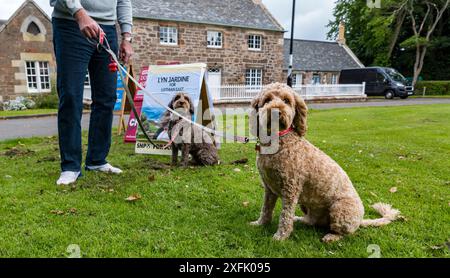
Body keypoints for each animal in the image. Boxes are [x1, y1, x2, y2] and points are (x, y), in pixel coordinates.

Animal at [250, 82, 400, 241]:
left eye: (286, 101)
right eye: (267, 100)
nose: (276, 111)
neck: (279, 142)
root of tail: (360, 221)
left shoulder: (291, 189)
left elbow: (285, 215)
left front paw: (280, 236)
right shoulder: (269, 188)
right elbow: (266, 208)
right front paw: (260, 223)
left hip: (340, 209)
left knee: (344, 232)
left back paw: (331, 236)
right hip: (306, 206)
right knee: (311, 221)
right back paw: (300, 220)